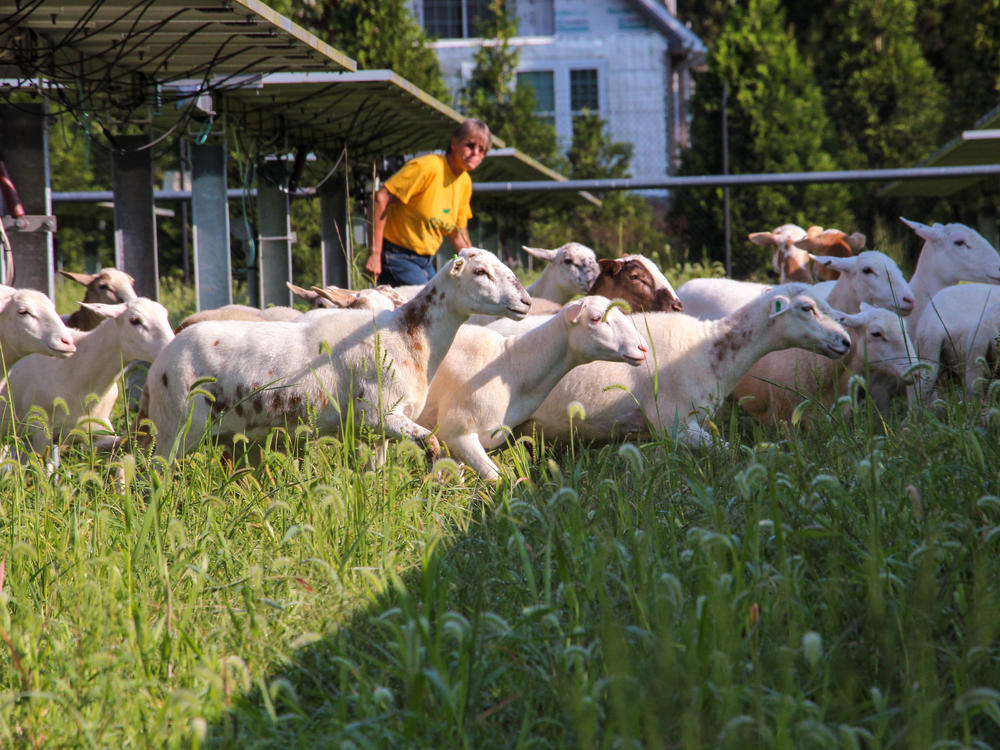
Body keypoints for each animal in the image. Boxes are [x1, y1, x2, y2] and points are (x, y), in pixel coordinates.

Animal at [143, 250, 532, 462]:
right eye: (480, 271)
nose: (526, 301)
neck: (411, 337)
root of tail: (160, 361)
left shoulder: (372, 431)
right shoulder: (382, 415)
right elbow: (433, 446)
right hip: (175, 431)